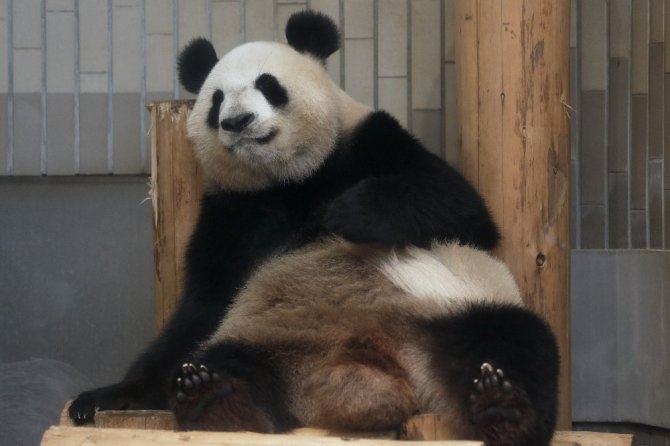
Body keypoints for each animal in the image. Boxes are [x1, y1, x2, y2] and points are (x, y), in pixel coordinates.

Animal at [69, 10, 559, 446]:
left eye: (268, 85)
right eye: (216, 100)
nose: (237, 122)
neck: (290, 182)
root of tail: (370, 369)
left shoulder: (370, 140)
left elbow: (461, 206)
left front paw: (343, 215)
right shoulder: (230, 213)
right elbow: (202, 306)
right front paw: (105, 398)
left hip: (457, 304)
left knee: (512, 340)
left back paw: (505, 412)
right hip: (267, 339)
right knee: (225, 361)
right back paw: (215, 398)